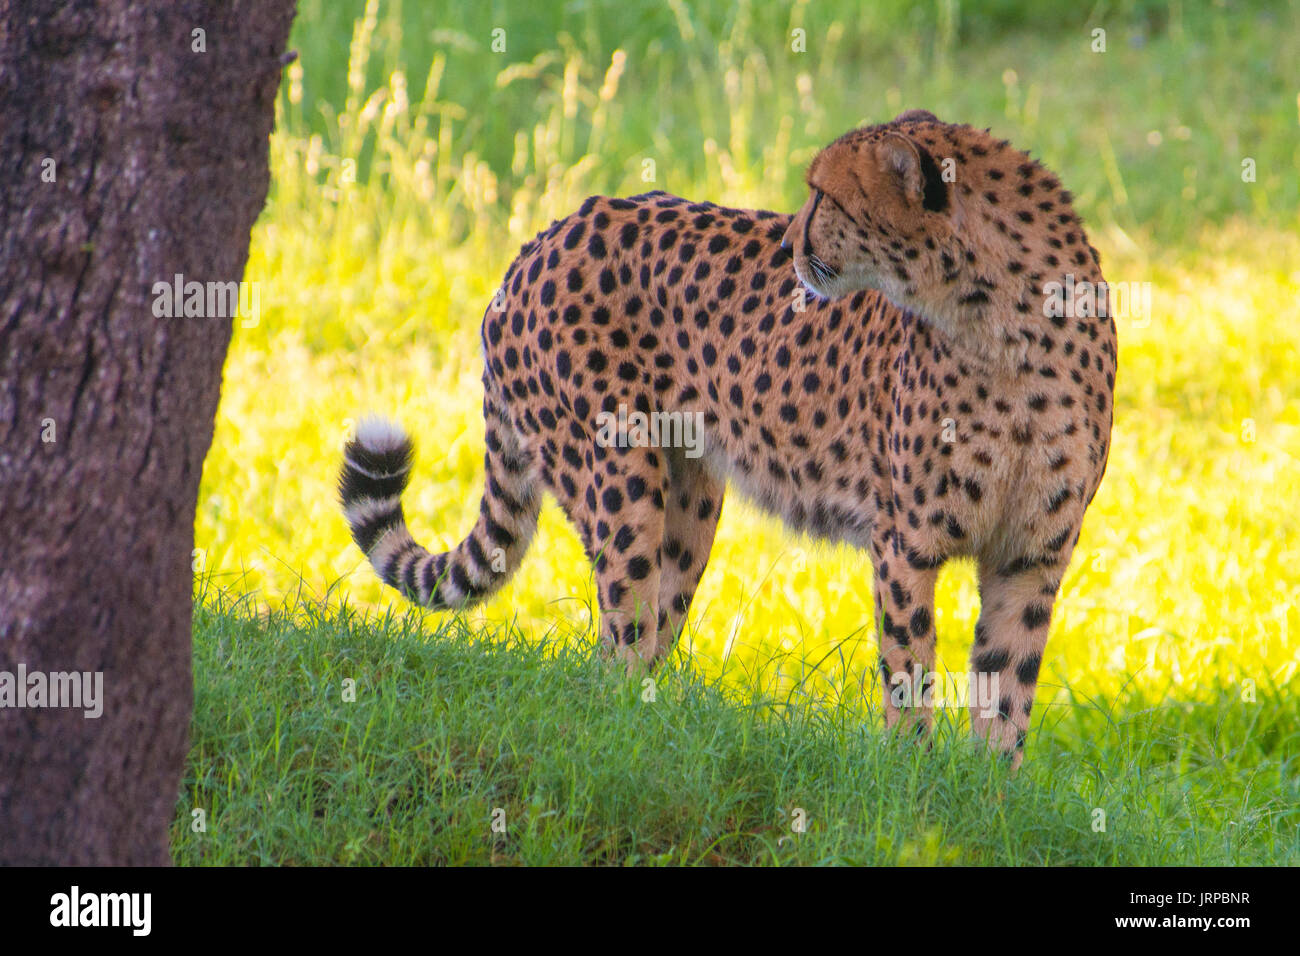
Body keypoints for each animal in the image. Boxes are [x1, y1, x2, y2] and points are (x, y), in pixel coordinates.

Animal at [339, 108, 1117, 766]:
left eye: (824, 196)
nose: (788, 244)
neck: (1003, 324)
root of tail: (544, 237)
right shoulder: (906, 543)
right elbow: (910, 670)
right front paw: (912, 778)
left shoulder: (1032, 555)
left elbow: (1008, 684)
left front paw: (991, 793)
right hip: (621, 482)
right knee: (616, 640)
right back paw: (626, 738)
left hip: (689, 503)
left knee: (652, 624)